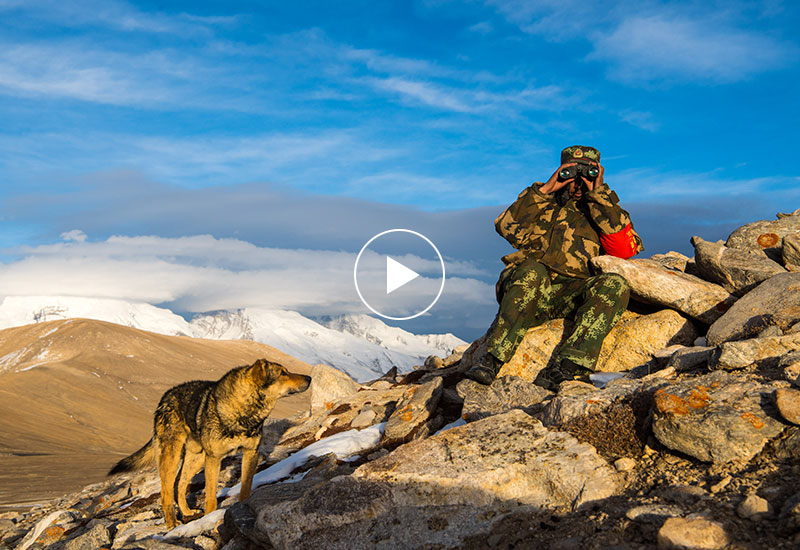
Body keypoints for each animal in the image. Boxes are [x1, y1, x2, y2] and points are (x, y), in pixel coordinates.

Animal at [109, 362, 312, 532]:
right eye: (283, 373)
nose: (309, 378)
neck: (243, 411)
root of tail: (164, 398)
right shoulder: (214, 458)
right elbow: (211, 496)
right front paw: (209, 518)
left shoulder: (251, 453)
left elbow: (246, 486)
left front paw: (241, 508)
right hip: (173, 457)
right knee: (166, 492)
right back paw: (172, 523)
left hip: (196, 458)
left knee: (180, 484)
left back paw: (187, 512)